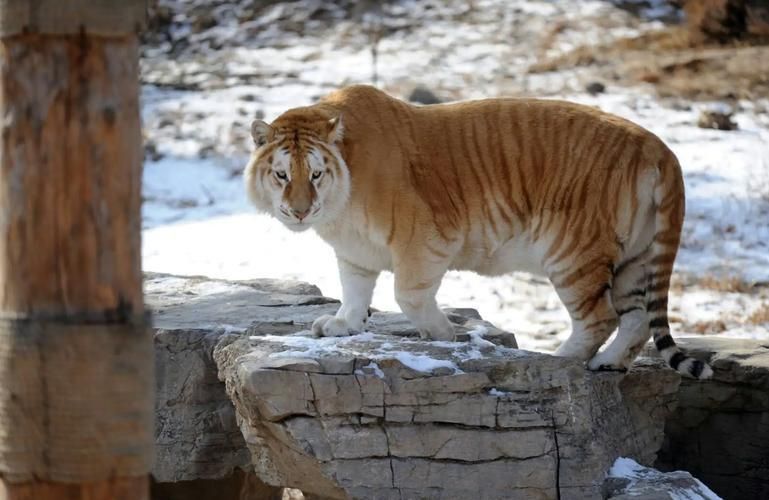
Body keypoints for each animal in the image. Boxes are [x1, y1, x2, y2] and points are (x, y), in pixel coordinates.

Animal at [244, 84, 712, 379]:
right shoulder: (355, 251)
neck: (339, 208)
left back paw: (559, 360)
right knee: (636, 320)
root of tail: (659, 145)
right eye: (282, 175)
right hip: (636, 257)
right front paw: (343, 325)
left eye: (315, 174)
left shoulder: (425, 239)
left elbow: (407, 294)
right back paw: (608, 364)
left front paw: (442, 335)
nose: (300, 212)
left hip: (572, 253)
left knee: (601, 318)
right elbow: (355, 291)